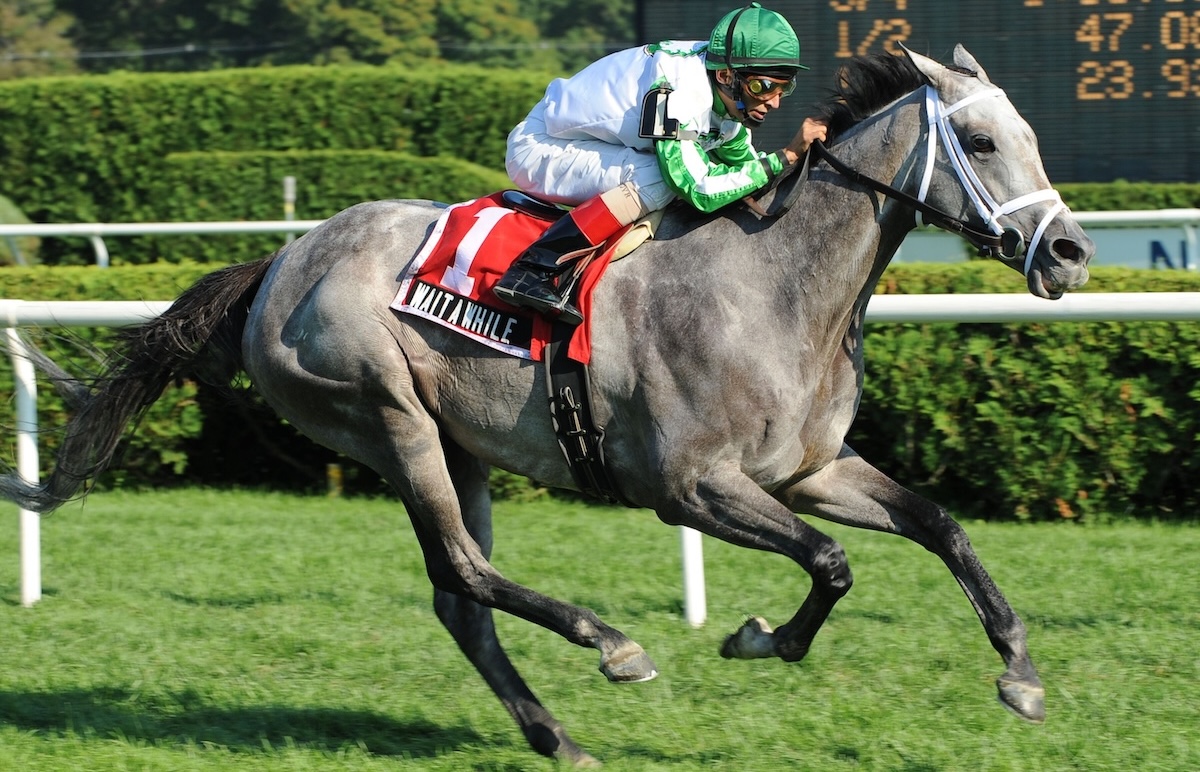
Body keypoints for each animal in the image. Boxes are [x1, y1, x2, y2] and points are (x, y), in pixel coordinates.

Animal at [4, 48, 1099, 768]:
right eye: (982, 139)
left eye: (1032, 136)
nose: (1070, 252)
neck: (775, 281)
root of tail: (278, 262)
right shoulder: (691, 487)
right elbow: (831, 564)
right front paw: (758, 638)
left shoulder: (809, 471)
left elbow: (940, 526)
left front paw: (1020, 673)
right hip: (388, 416)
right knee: (464, 568)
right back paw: (609, 645)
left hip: (459, 443)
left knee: (459, 595)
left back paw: (556, 735)